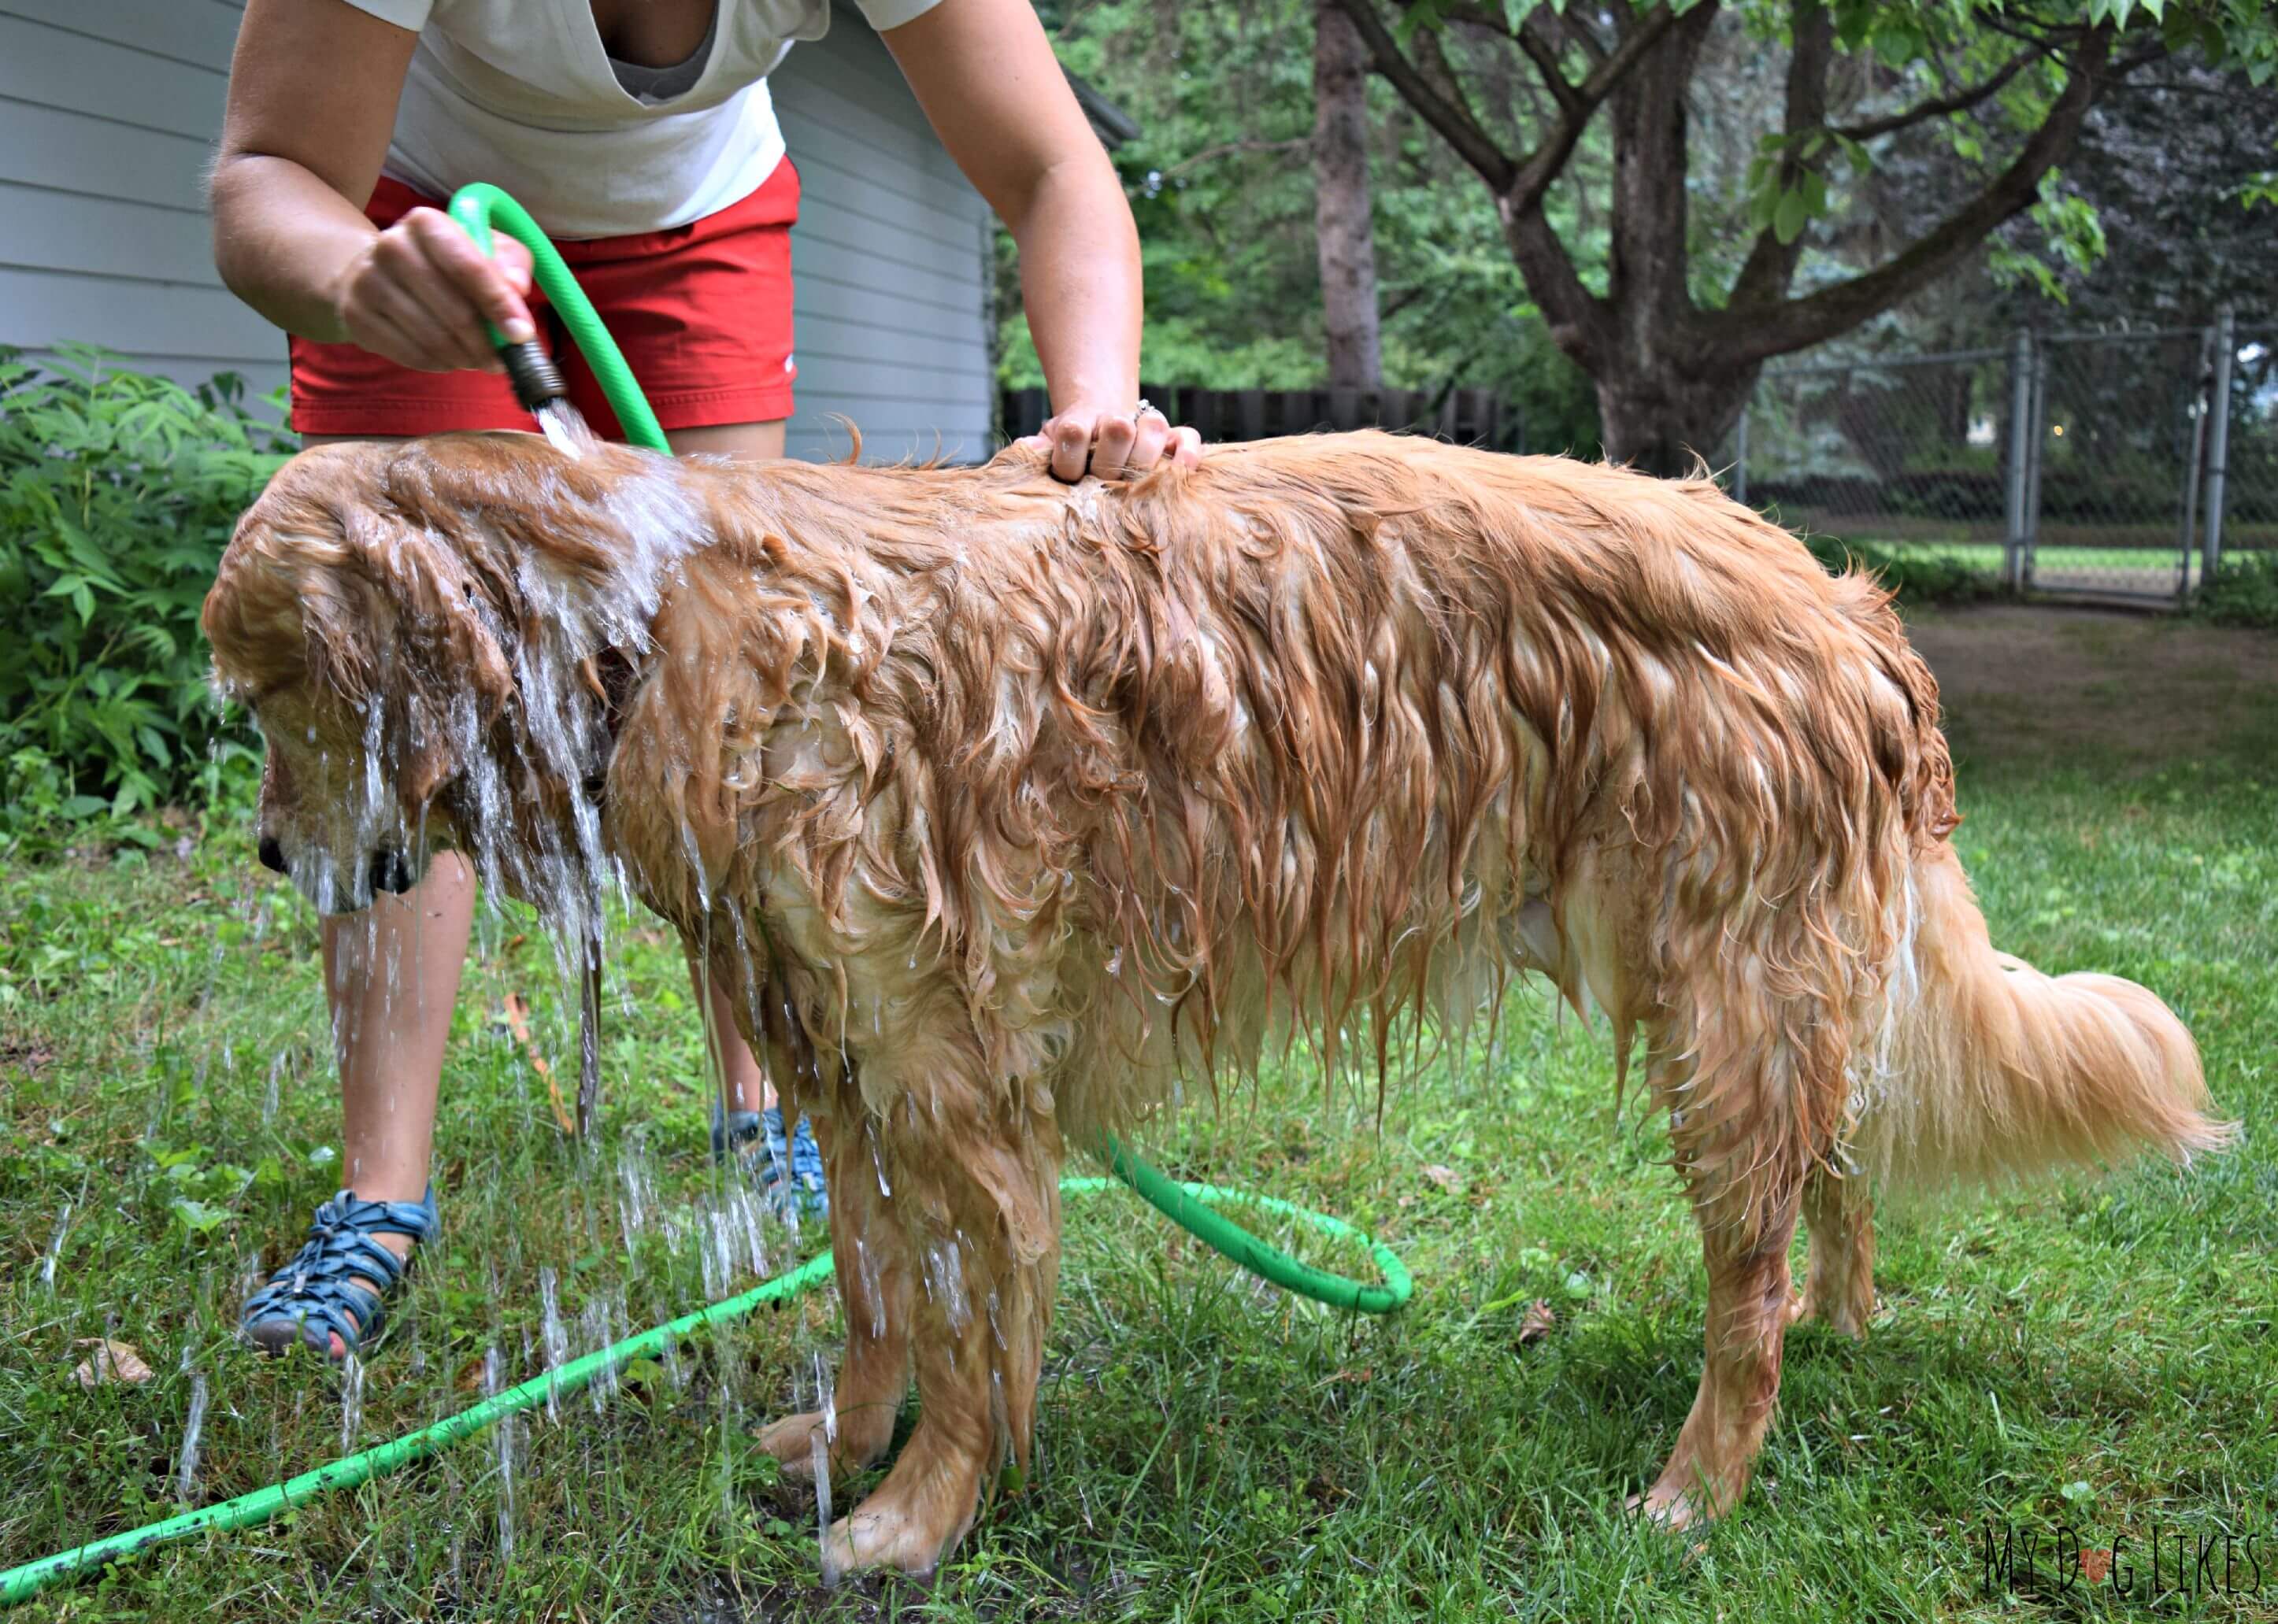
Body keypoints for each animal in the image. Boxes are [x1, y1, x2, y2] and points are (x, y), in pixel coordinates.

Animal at [200, 427, 2223, 1567]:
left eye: (278, 691)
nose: (269, 854)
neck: (652, 614)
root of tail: (1841, 596)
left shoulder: (955, 1070)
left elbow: (973, 1334)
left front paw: (915, 1518)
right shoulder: (850, 1067)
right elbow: (873, 1294)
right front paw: (838, 1447)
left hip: (1716, 997)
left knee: (1747, 1282)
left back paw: (1697, 1484)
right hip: (1754, 984)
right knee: (1834, 1174)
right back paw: (1846, 1322)